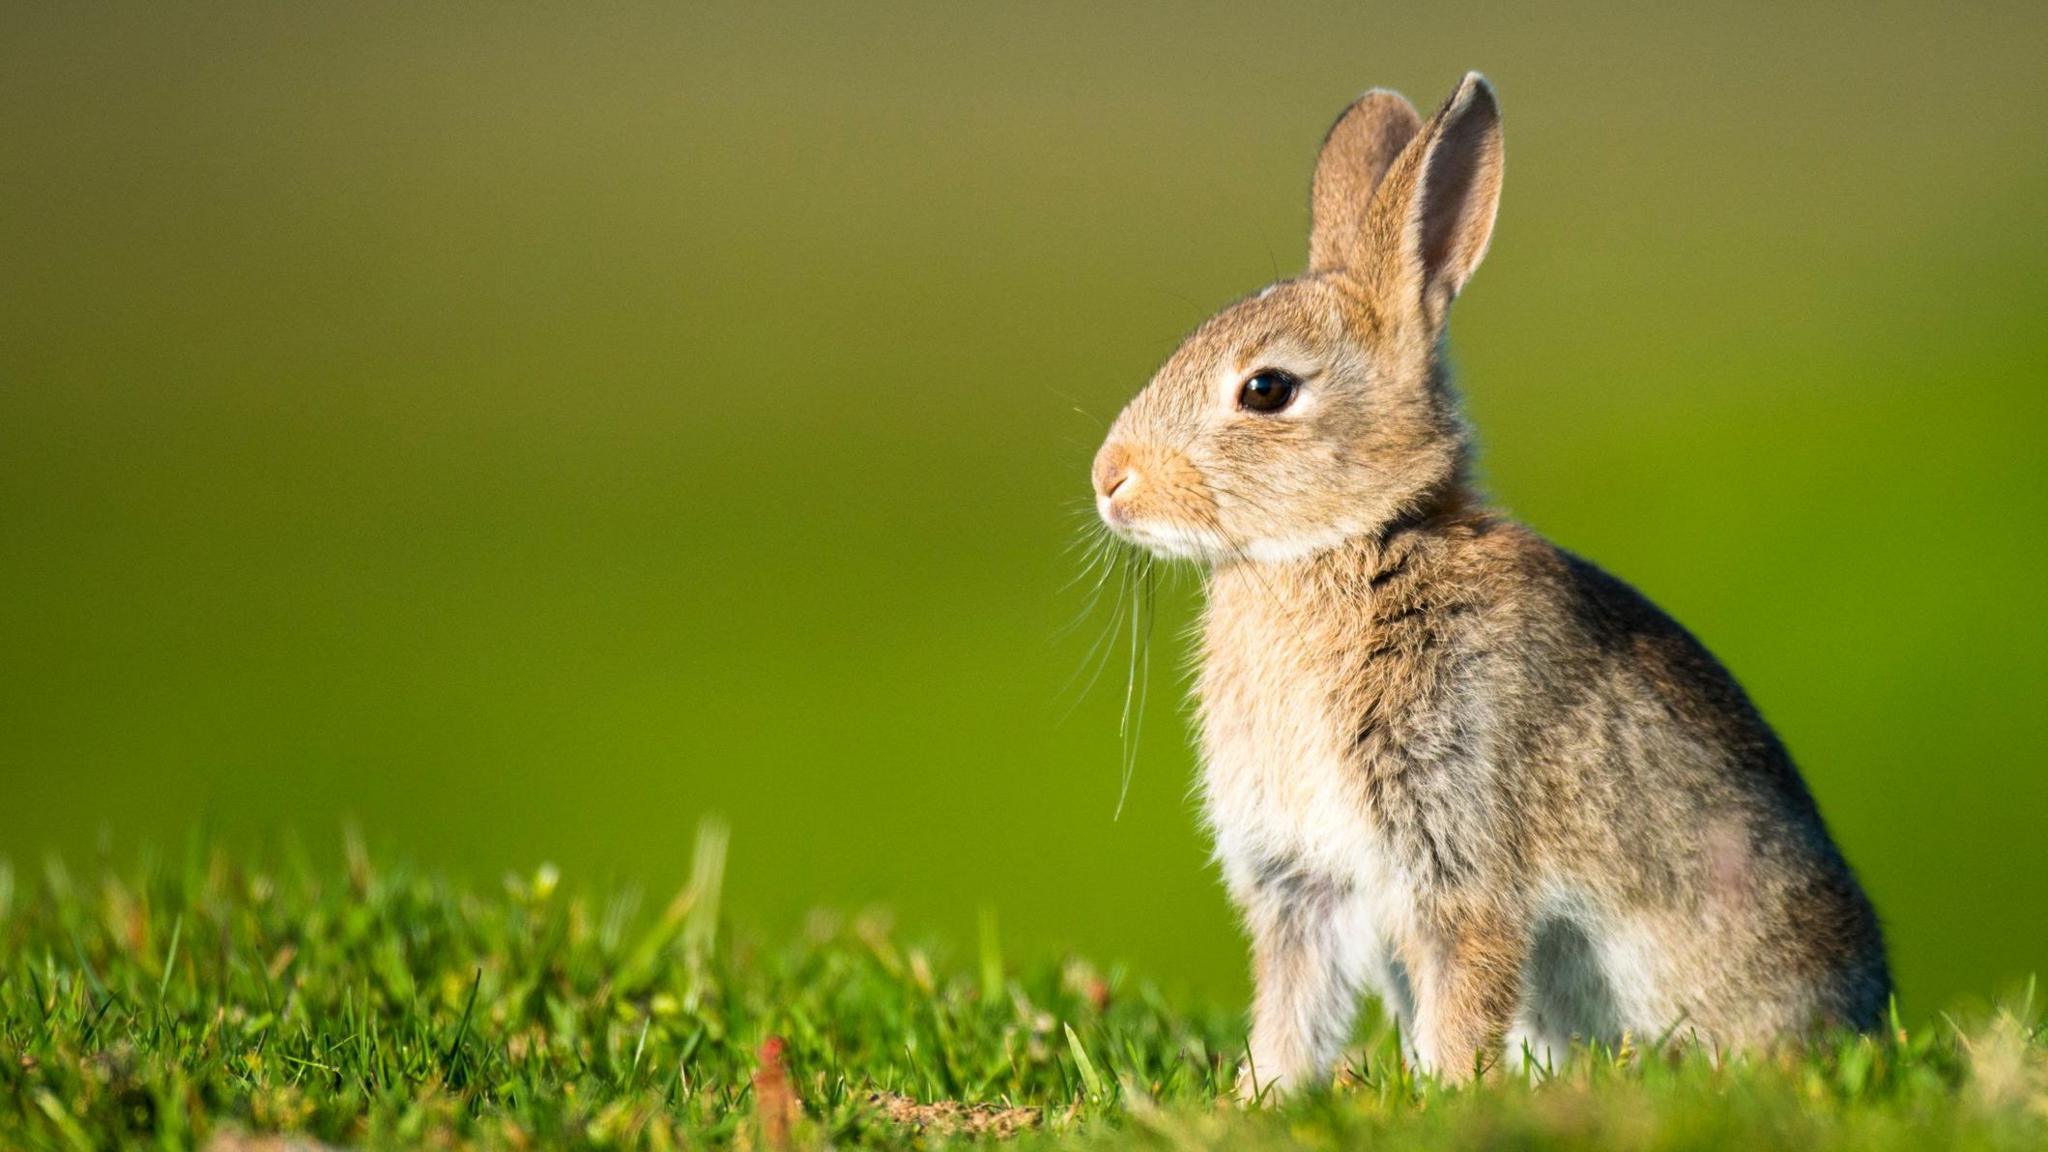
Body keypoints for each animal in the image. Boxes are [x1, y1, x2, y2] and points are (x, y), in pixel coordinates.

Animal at [1089, 73, 1884, 1082]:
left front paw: (1448, 1090)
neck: (1354, 541)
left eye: (1267, 390)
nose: (1110, 480)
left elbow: (1464, 984)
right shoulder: (1302, 881)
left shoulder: (1457, 844)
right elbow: (1293, 1005)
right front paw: (1266, 1093)